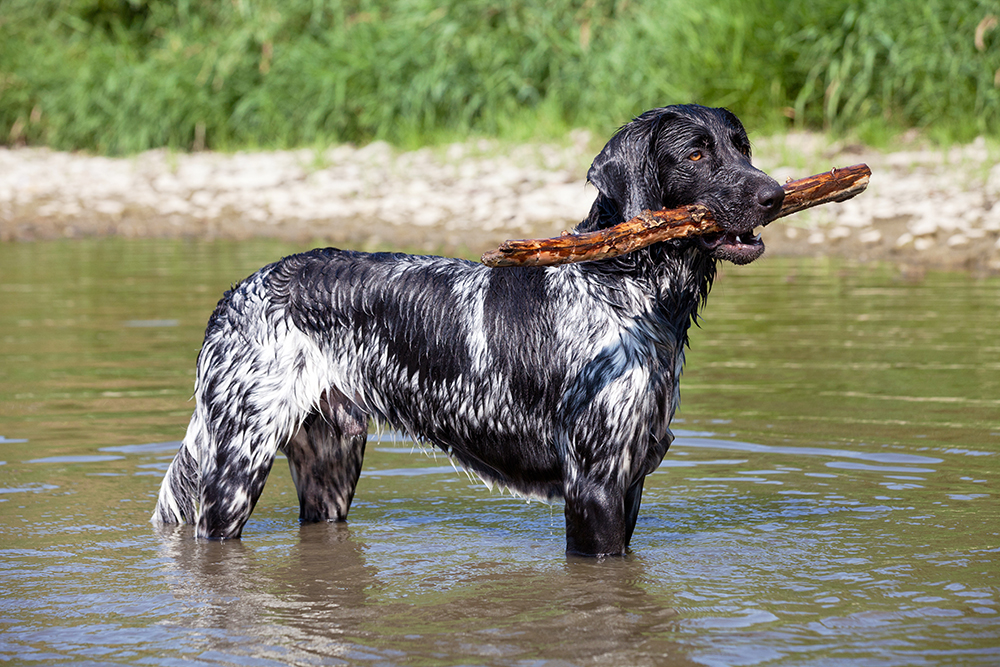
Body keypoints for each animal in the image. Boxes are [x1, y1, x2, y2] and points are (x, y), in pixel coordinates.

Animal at [152, 104, 784, 556]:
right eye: (697, 154)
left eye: (743, 147)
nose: (774, 194)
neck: (626, 286)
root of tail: (238, 292)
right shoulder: (595, 483)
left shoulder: (630, 479)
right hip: (236, 466)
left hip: (331, 467)